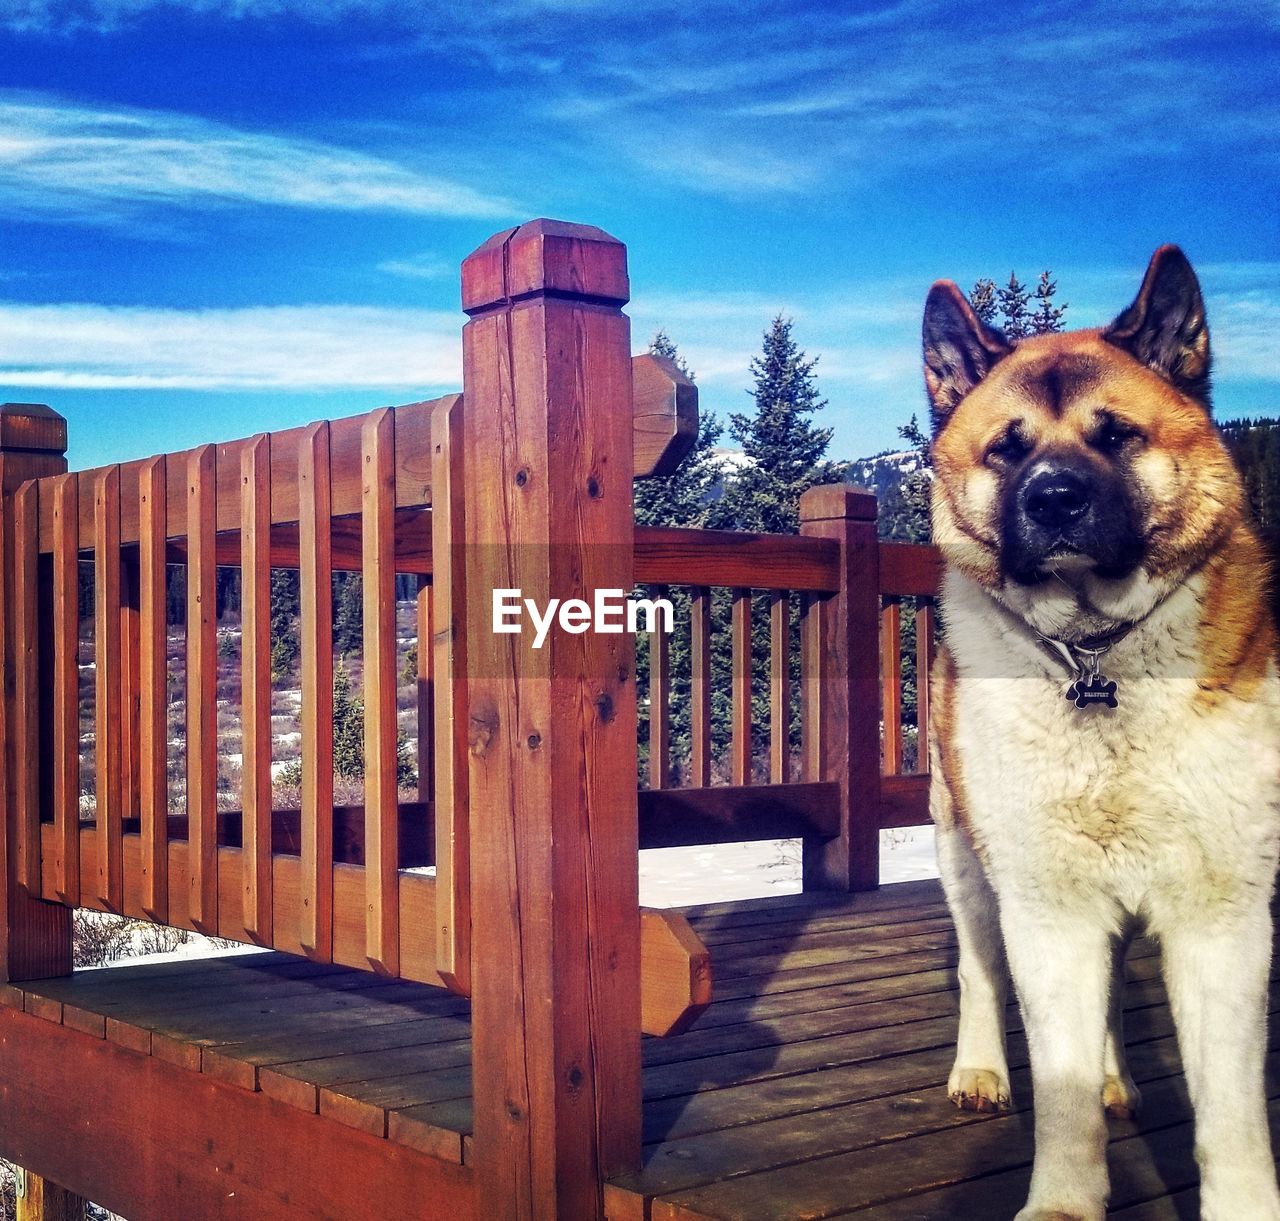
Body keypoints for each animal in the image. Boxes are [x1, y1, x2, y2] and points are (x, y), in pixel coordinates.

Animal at [921, 247, 1280, 1218]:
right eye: (1007, 449)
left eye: (1115, 436)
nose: (1054, 499)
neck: (1096, 660)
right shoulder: (1045, 908)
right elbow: (1062, 1087)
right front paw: (1063, 1201)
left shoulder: (1222, 916)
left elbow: (1230, 1111)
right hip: (965, 858)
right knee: (979, 970)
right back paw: (980, 1068)